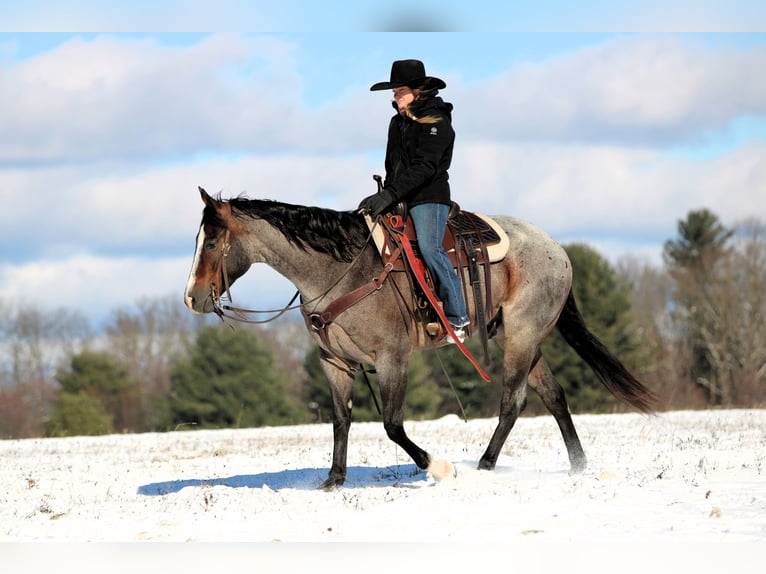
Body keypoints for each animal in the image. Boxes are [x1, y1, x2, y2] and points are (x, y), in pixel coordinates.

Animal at [184, 186, 658, 490]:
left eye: (212, 241)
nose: (192, 298)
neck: (341, 270)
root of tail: (558, 250)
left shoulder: (392, 357)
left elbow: (392, 424)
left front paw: (439, 467)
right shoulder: (334, 362)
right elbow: (340, 419)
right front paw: (334, 480)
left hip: (522, 336)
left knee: (513, 401)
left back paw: (484, 466)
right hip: (520, 337)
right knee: (553, 395)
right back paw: (578, 467)